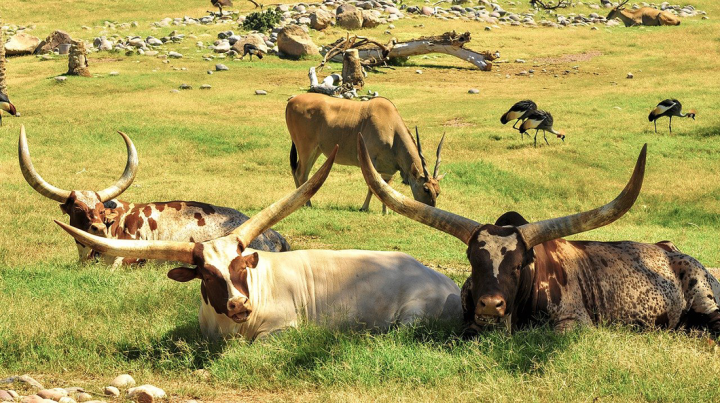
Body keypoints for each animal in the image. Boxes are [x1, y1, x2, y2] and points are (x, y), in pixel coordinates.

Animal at [286, 93, 444, 215]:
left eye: (438, 191)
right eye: (426, 189)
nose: (431, 209)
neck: (392, 128)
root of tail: (291, 101)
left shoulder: (388, 170)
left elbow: (386, 188)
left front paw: (385, 211)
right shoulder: (369, 160)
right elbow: (373, 186)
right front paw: (364, 208)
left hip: (316, 150)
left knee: (299, 172)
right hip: (306, 147)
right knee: (301, 173)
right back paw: (306, 204)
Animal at [358, 134, 720, 336]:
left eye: (519, 265)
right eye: (473, 261)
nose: (491, 305)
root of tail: (671, 249)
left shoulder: (574, 322)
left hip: (704, 298)